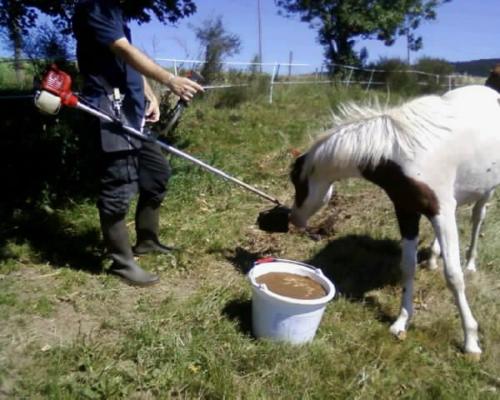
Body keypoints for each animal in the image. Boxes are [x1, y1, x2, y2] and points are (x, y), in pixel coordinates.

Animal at [288, 85, 500, 360]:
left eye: (296, 181)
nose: (293, 219)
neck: (403, 154)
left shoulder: (441, 210)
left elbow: (454, 276)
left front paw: (471, 340)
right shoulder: (407, 210)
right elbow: (407, 267)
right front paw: (401, 322)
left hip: (486, 191)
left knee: (477, 218)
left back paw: (471, 263)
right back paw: (434, 258)